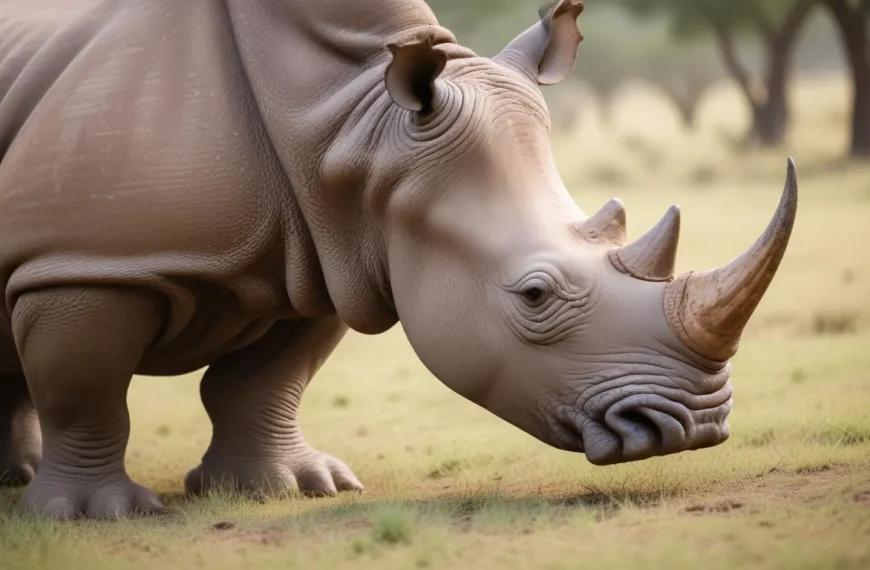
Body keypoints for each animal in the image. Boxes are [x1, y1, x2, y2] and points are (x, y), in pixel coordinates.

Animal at [0, 0, 797, 520]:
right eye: (535, 295)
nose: (695, 428)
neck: (357, 126)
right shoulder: (81, 264)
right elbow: (85, 387)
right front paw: (95, 515)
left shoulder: (327, 255)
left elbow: (268, 379)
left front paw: (285, 490)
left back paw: (15, 478)